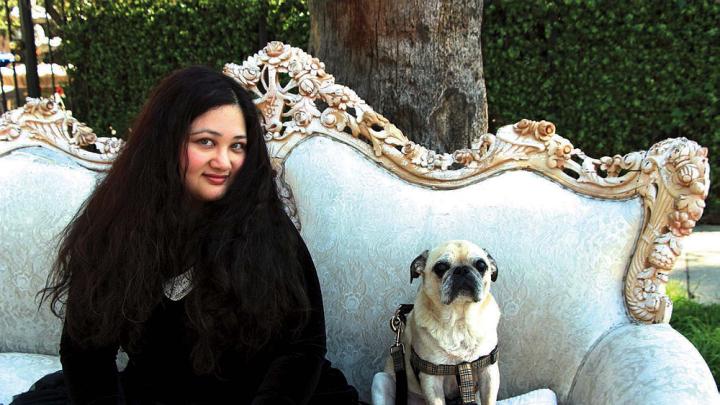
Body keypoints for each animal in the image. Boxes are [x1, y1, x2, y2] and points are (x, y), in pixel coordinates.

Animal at [386, 240, 498, 404]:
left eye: (481, 265)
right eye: (440, 268)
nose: (462, 270)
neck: (460, 321)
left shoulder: (488, 373)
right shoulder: (431, 381)